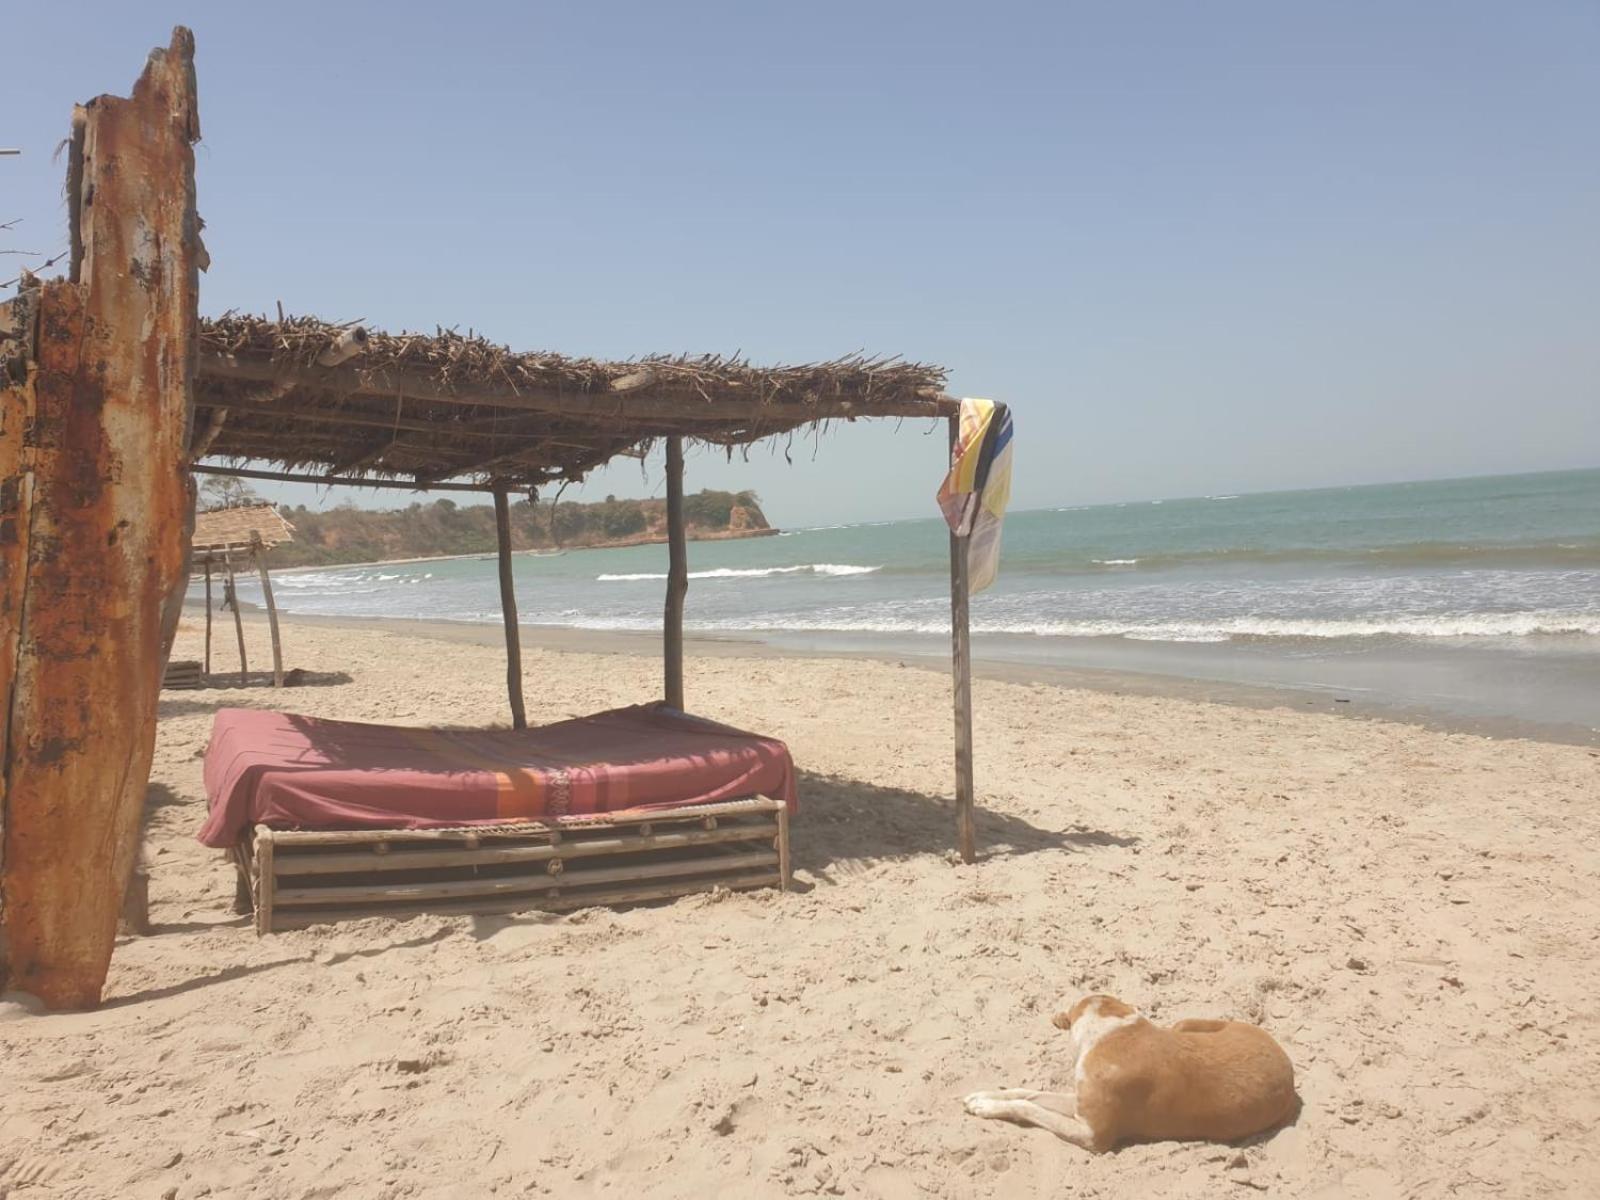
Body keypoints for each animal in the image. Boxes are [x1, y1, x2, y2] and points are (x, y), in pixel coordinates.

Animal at [960, 998, 1299, 1158]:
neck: (1114, 1033)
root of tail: (1289, 1067)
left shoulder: (1092, 1135)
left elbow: (1029, 1107)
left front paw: (987, 1107)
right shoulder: (1078, 1103)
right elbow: (1025, 1093)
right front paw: (984, 1097)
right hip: (1185, 1026)